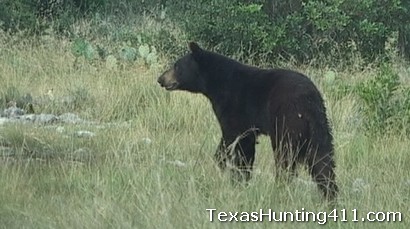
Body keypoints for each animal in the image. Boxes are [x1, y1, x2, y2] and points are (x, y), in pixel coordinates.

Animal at [157, 42, 340, 200]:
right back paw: (330, 196)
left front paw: (237, 178)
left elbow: (237, 143)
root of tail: (309, 100)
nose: (160, 79)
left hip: (288, 121)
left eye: (176, 66)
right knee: (323, 161)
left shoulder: (235, 109)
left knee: (285, 156)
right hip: (320, 128)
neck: (217, 82)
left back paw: (280, 187)